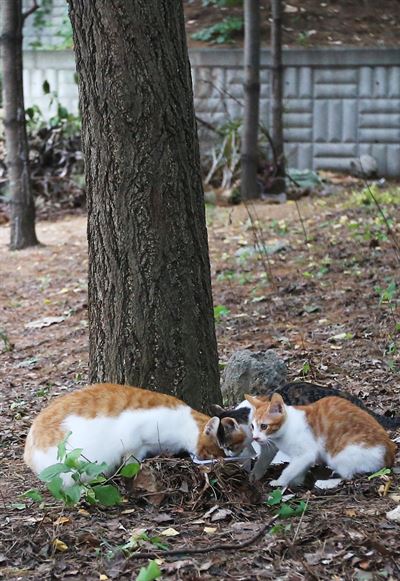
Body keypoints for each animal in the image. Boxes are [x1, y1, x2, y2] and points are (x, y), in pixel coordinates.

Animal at [24, 382, 247, 488]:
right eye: (216, 452)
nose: (224, 462)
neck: (185, 423)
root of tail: (29, 453)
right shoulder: (134, 439)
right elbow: (132, 459)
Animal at [247, 392, 396, 488]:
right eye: (252, 426)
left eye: (264, 426)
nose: (255, 437)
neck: (287, 427)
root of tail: (389, 454)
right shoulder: (306, 457)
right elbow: (300, 467)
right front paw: (298, 481)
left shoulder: (305, 453)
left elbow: (290, 469)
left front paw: (280, 482)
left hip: (339, 454)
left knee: (347, 476)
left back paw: (326, 483)